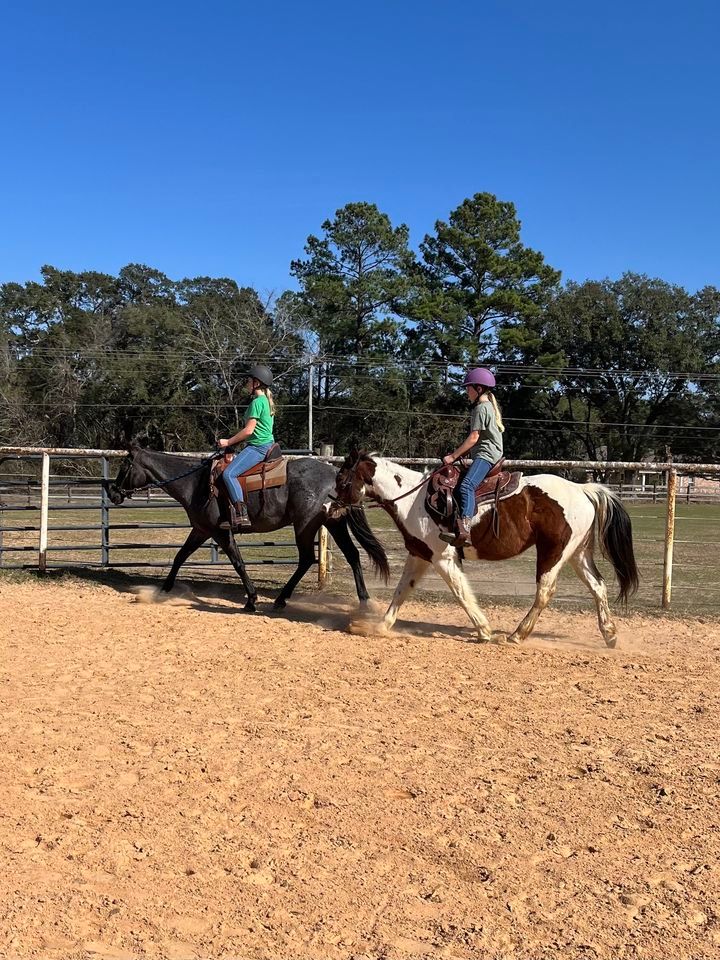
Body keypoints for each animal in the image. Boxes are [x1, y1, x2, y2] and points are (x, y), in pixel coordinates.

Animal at [108, 443, 389, 612]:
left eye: (125, 466)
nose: (113, 494)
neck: (195, 483)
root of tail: (334, 475)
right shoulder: (201, 530)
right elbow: (180, 556)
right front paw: (163, 590)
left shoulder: (220, 532)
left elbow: (238, 563)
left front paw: (252, 600)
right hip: (333, 523)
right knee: (353, 555)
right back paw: (364, 602)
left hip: (305, 526)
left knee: (307, 559)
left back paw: (281, 599)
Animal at [333, 451, 639, 647]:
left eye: (342, 479)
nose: (331, 506)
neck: (413, 500)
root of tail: (581, 490)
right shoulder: (420, 556)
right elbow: (401, 591)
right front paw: (380, 627)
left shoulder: (443, 559)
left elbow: (461, 593)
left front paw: (484, 630)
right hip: (578, 554)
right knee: (598, 586)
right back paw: (609, 634)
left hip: (552, 553)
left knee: (544, 592)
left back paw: (517, 635)